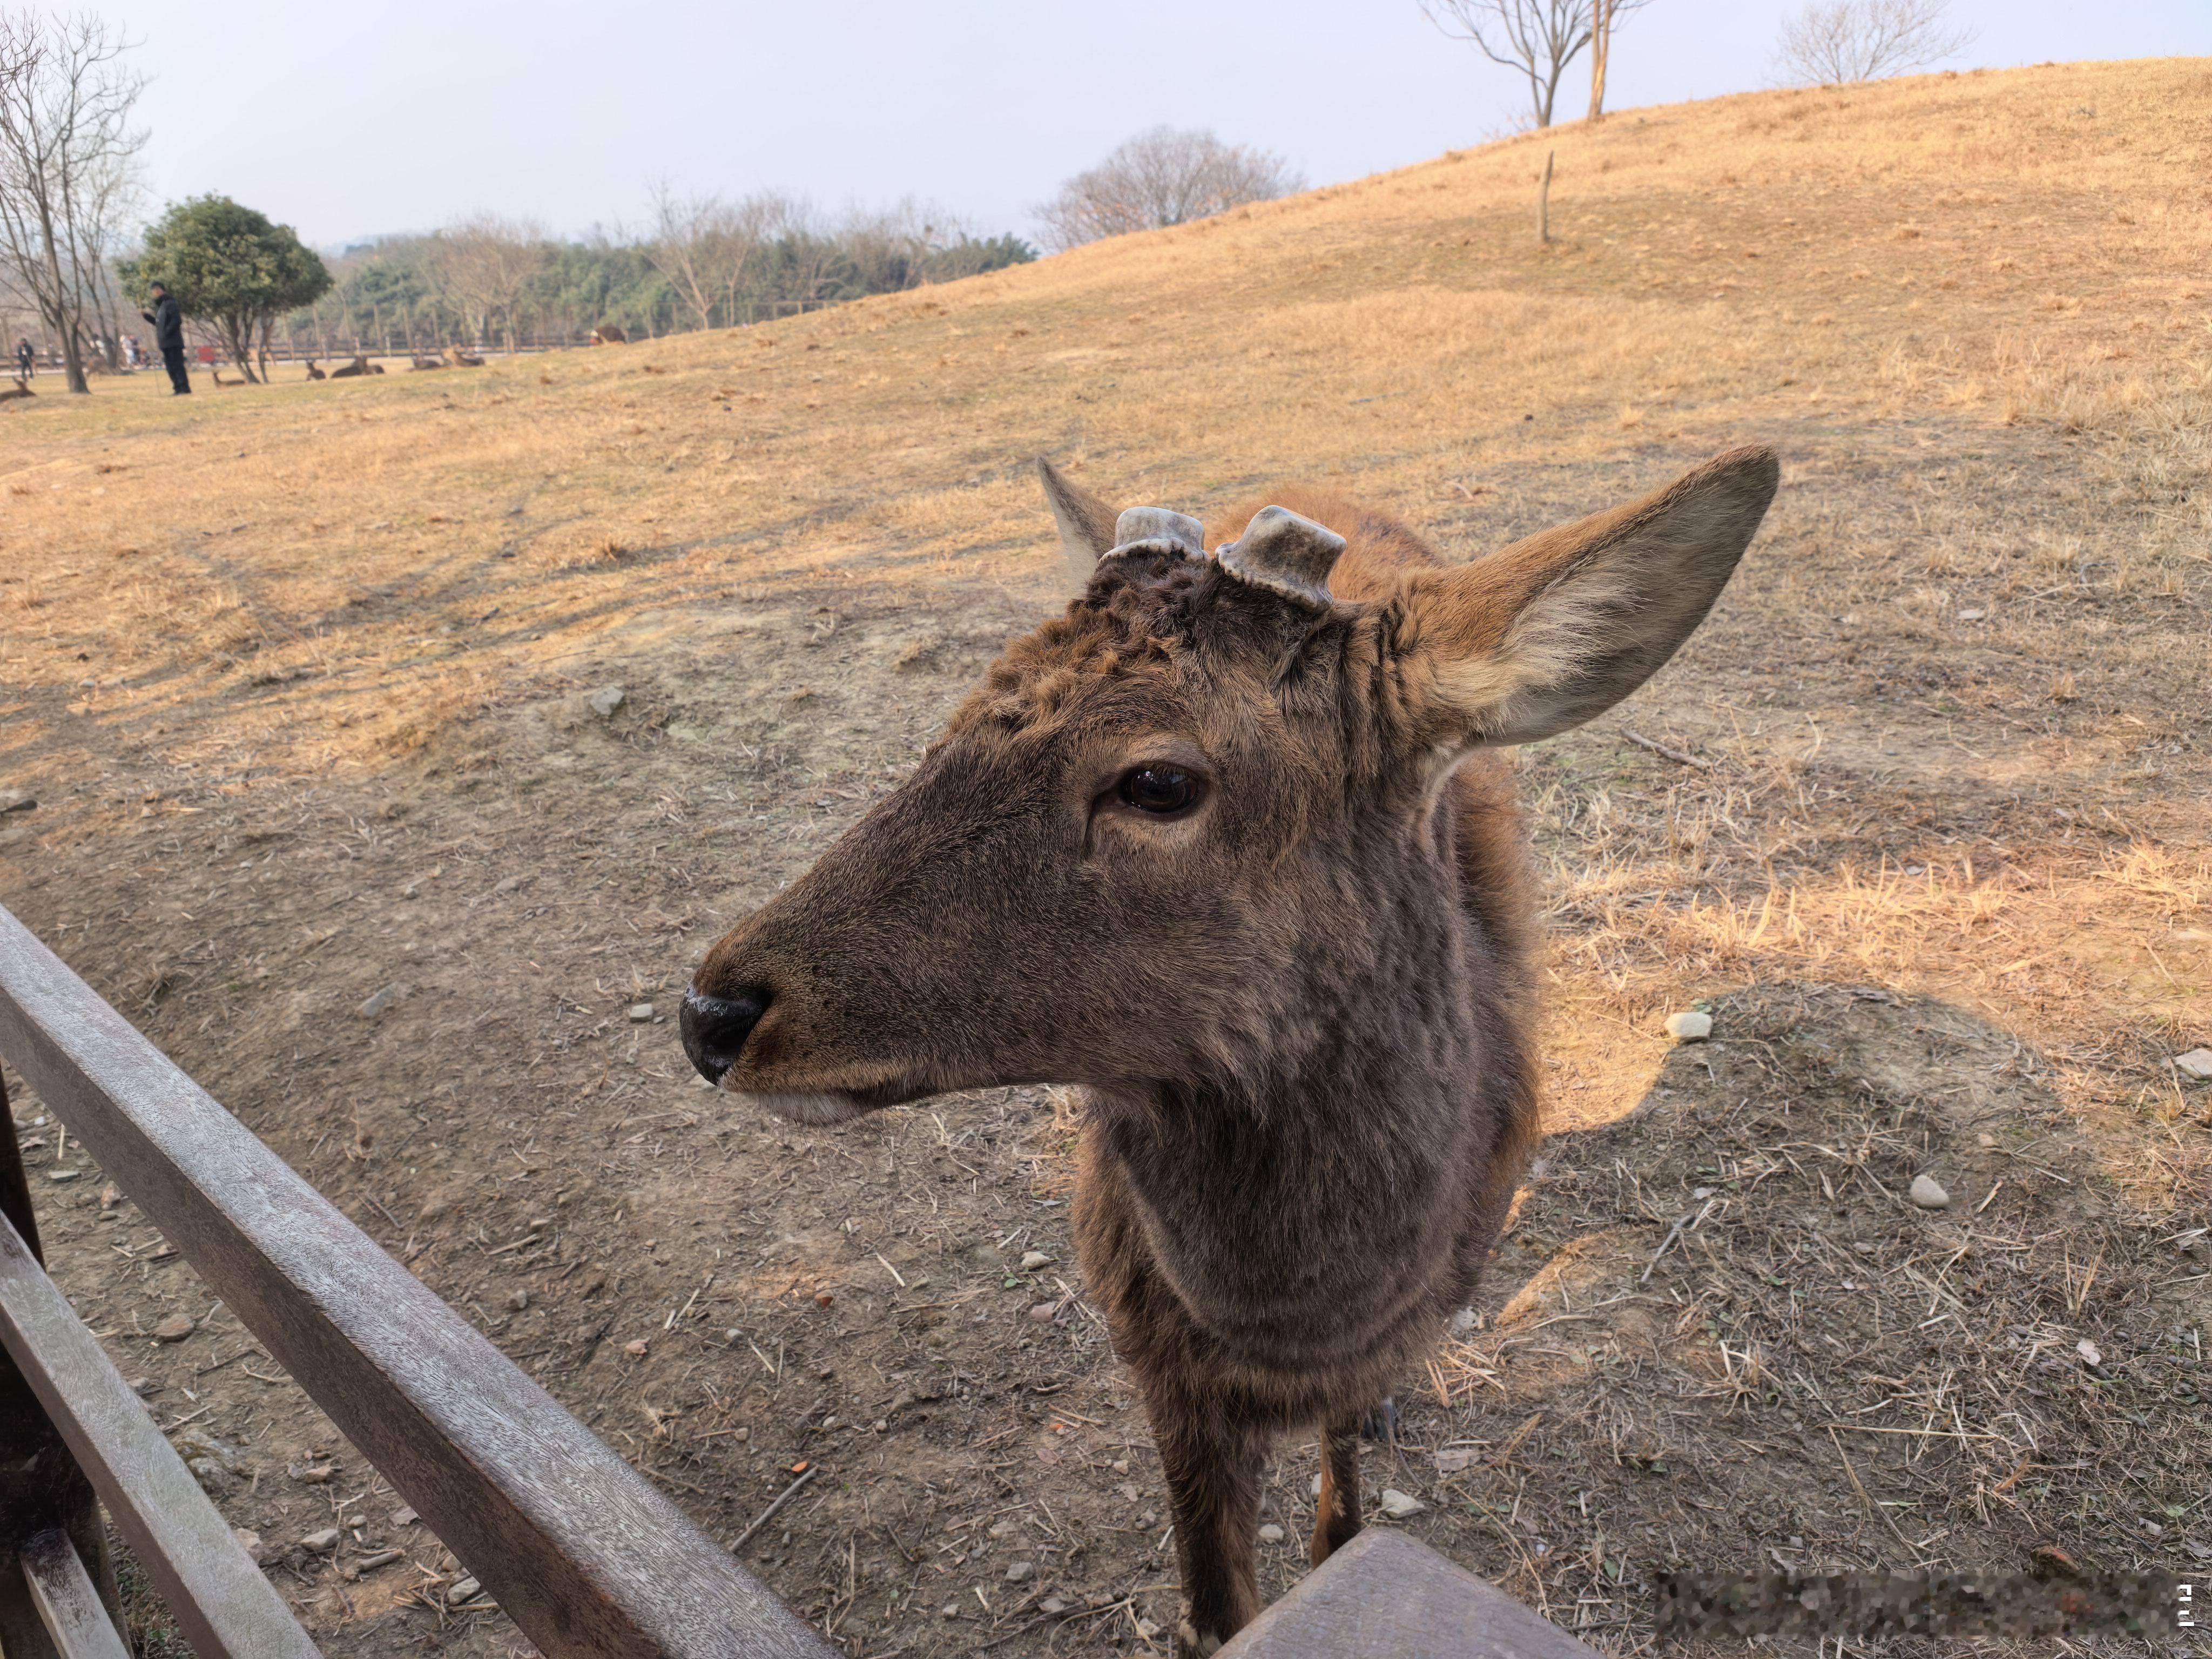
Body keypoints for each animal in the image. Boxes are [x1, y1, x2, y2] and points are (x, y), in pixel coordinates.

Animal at [677, 438, 1778, 1654]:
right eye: (957, 714)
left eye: (1157, 779)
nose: (712, 1012)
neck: (1293, 1318)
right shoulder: (1154, 1356)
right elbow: (1213, 1604)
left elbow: (1341, 1512)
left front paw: (1345, 1495)